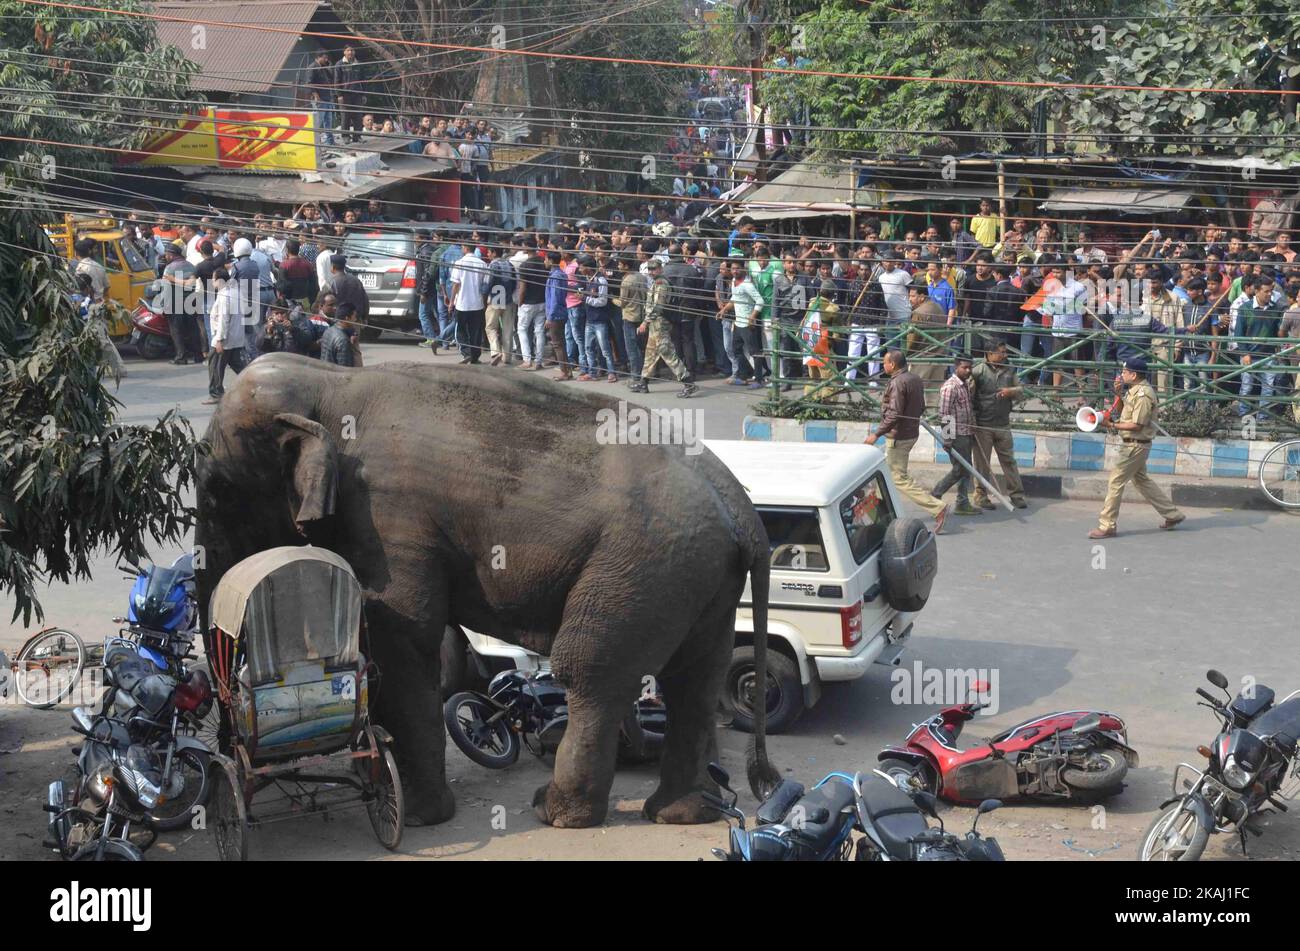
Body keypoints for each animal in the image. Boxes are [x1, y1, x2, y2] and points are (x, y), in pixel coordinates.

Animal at [195, 354, 779, 828]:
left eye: (218, 490)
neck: (329, 380)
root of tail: (745, 512)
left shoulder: (390, 519)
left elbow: (401, 640)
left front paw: (419, 817)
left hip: (641, 565)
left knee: (589, 668)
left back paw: (555, 812)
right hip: (697, 576)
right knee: (695, 678)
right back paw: (681, 813)